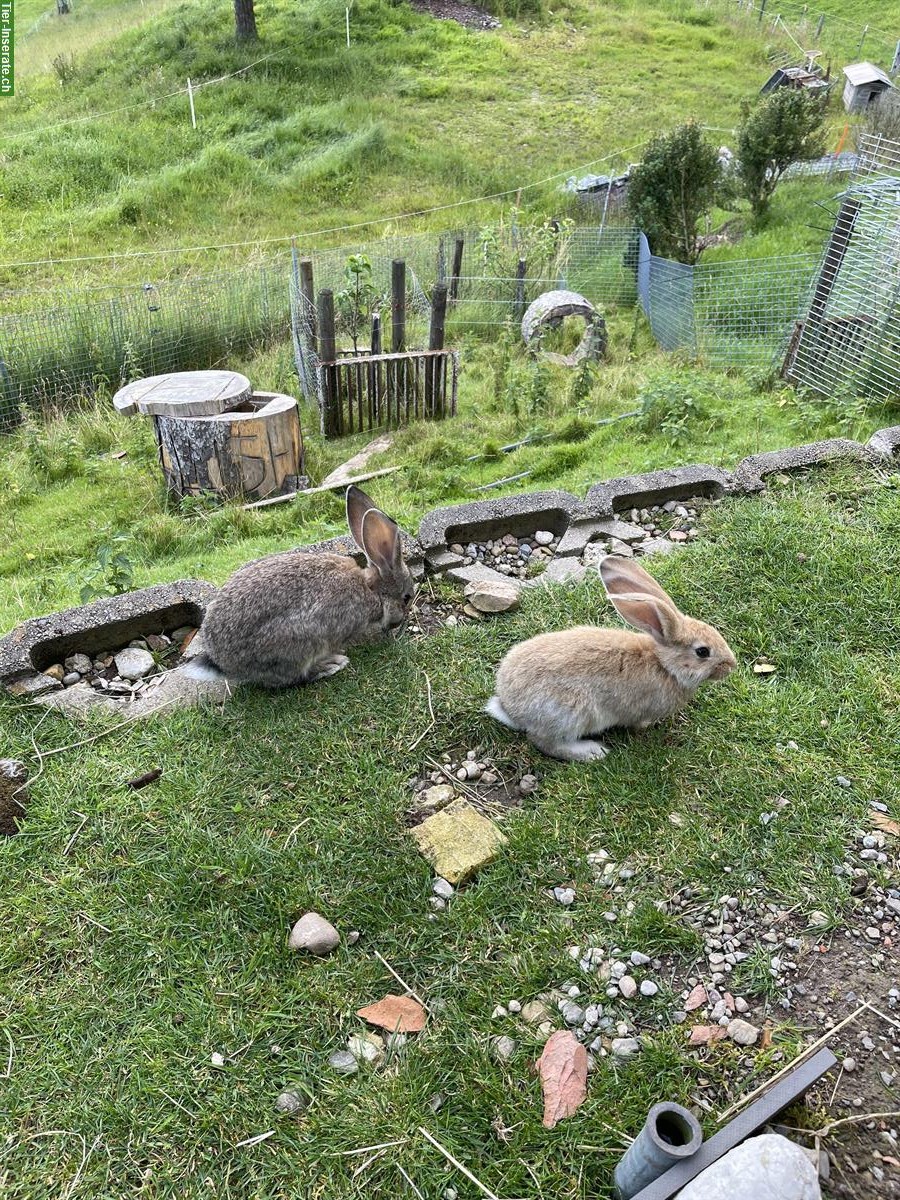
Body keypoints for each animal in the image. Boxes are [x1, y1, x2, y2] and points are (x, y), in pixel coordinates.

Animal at [190, 484, 415, 691]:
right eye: (406, 597)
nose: (400, 622)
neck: (371, 590)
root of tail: (223, 663)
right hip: (298, 643)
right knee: (292, 677)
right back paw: (331, 664)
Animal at [489, 554, 734, 758]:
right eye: (703, 652)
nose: (731, 665)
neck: (664, 665)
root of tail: (510, 708)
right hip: (569, 714)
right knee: (546, 742)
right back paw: (593, 752)